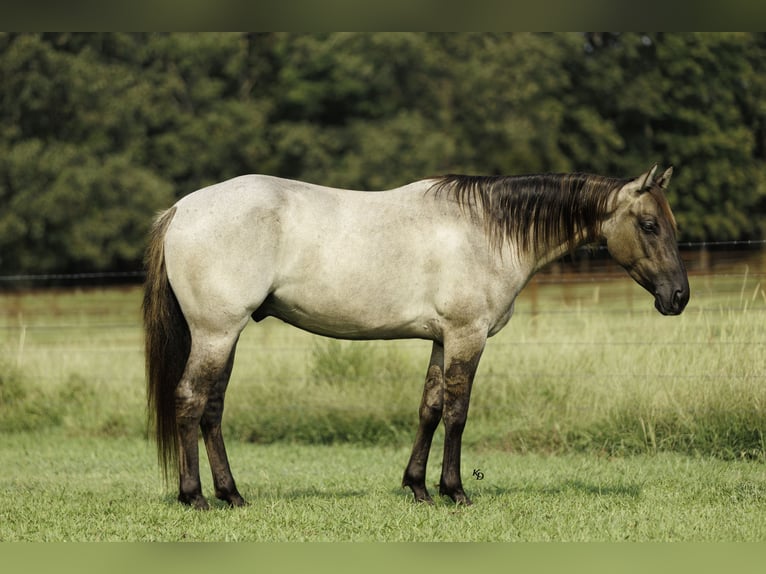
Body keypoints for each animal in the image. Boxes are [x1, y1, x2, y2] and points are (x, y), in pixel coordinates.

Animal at [143, 164, 689, 509]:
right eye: (648, 224)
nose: (679, 296)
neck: (487, 229)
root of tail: (181, 210)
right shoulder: (468, 336)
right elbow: (457, 412)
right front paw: (455, 491)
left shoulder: (442, 340)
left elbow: (429, 408)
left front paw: (418, 488)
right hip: (216, 332)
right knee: (190, 400)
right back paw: (194, 497)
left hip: (226, 336)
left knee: (212, 409)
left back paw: (232, 495)